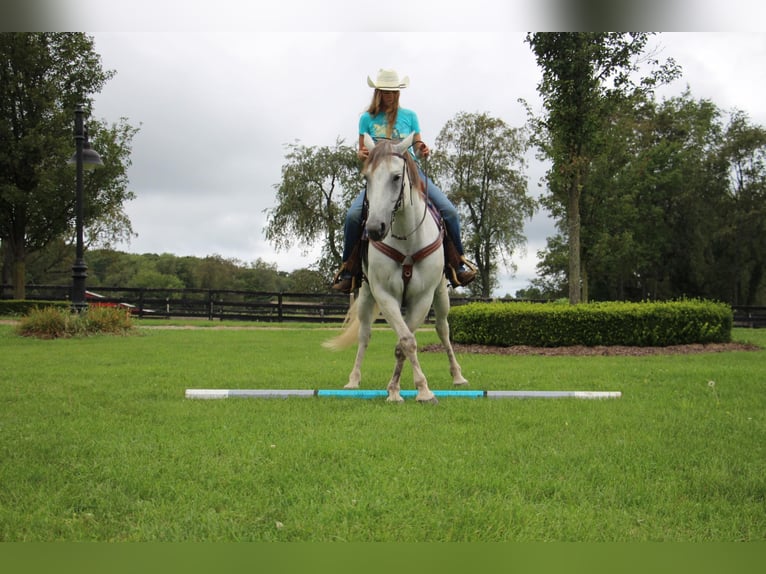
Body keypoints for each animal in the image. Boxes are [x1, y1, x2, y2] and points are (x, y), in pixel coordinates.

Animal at [324, 134, 468, 404]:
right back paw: (353, 380)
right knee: (364, 335)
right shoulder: (384, 294)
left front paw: (415, 390)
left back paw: (458, 376)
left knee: (443, 329)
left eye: (396, 177)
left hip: (441, 294)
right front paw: (404, 390)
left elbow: (405, 343)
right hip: (366, 295)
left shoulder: (422, 297)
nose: (373, 229)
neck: (407, 238)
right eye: (367, 178)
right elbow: (406, 340)